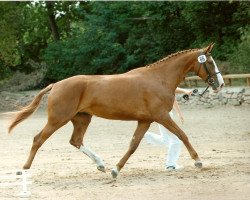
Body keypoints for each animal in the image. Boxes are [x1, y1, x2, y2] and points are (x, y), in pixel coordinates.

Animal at [6, 43, 225, 177]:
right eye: (210, 62)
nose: (220, 84)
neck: (158, 79)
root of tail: (56, 85)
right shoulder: (162, 117)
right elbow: (182, 135)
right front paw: (198, 161)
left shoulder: (145, 120)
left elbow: (133, 145)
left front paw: (116, 170)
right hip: (58, 119)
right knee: (38, 139)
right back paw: (24, 169)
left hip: (82, 119)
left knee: (76, 141)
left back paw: (101, 164)